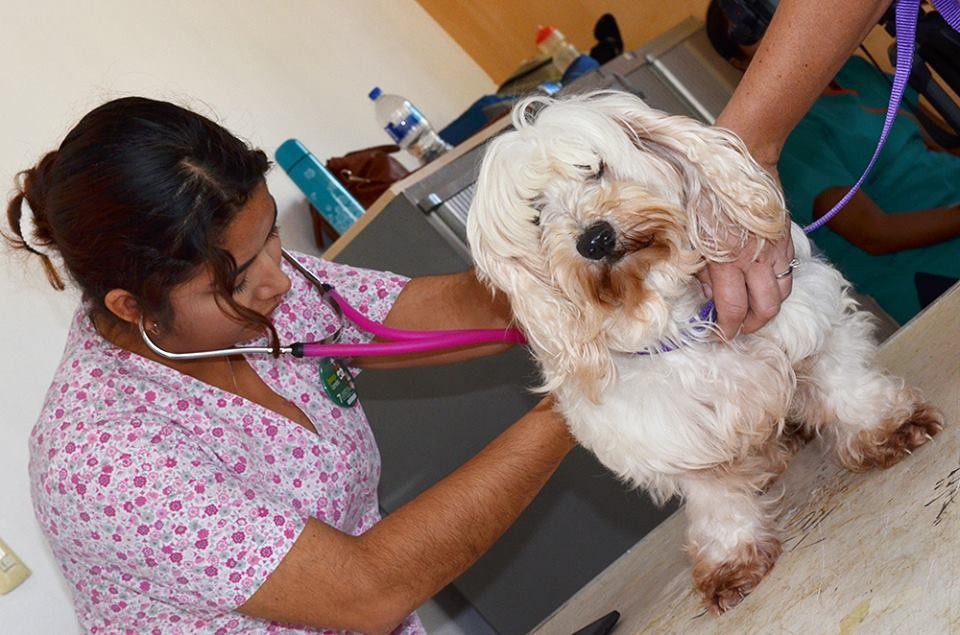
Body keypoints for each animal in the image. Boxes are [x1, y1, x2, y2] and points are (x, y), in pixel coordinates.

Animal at [466, 92, 944, 612]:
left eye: (595, 168)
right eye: (535, 215)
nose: (593, 238)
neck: (676, 319)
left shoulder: (801, 318)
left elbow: (843, 383)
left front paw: (886, 427)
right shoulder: (674, 433)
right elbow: (716, 498)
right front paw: (731, 557)